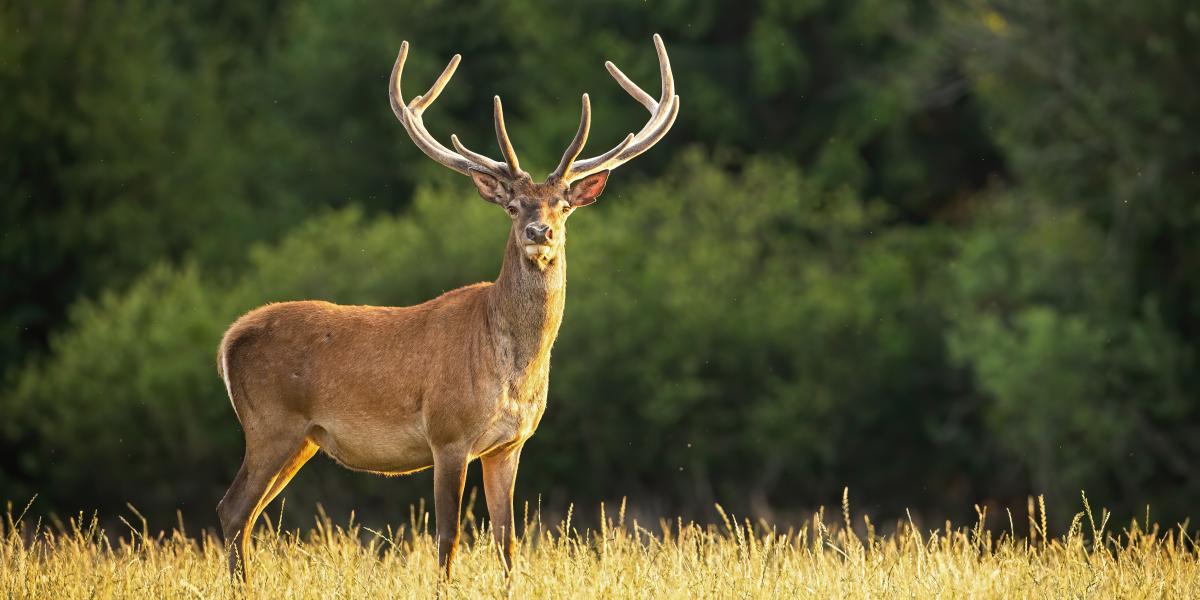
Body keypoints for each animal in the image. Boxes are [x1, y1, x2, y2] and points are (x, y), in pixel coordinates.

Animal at [216, 34, 681, 580]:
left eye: (563, 205)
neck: (512, 370)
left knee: (245, 515)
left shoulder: (510, 444)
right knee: (232, 508)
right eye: (513, 205)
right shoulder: (448, 434)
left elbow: (507, 539)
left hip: (303, 438)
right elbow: (448, 537)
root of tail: (229, 339)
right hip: (271, 423)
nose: (539, 232)